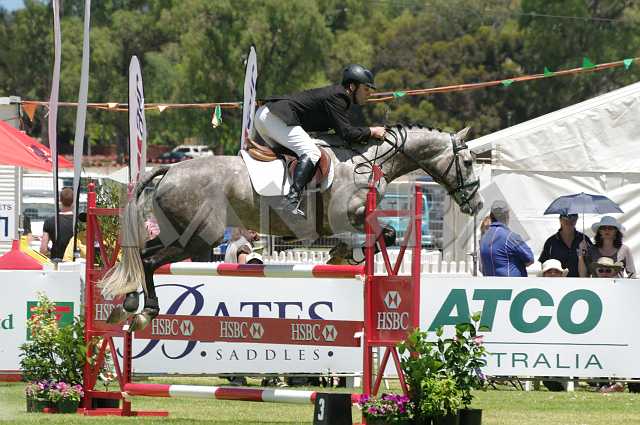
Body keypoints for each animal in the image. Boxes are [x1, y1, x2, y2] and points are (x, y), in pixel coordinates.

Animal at [99, 124, 483, 331]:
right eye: (467, 161)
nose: (476, 205)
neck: (369, 161)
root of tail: (170, 170)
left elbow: (377, 236)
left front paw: (341, 256)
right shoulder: (350, 215)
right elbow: (383, 234)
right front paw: (347, 254)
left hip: (177, 233)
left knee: (143, 255)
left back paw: (127, 303)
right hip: (199, 239)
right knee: (150, 261)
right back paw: (145, 311)